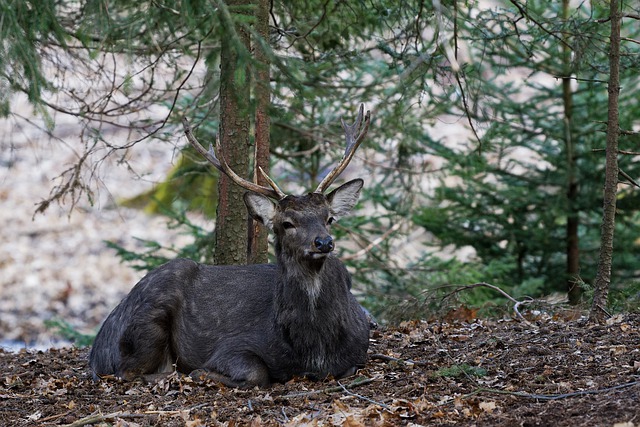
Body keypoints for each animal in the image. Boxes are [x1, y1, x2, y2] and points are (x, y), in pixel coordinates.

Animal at [87, 103, 372, 388]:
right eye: (287, 223)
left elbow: (350, 367)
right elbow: (257, 373)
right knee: (127, 371)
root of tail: (97, 345)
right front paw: (201, 372)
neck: (316, 348)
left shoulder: (360, 347)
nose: (323, 242)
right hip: (147, 318)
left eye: (329, 218)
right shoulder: (232, 346)